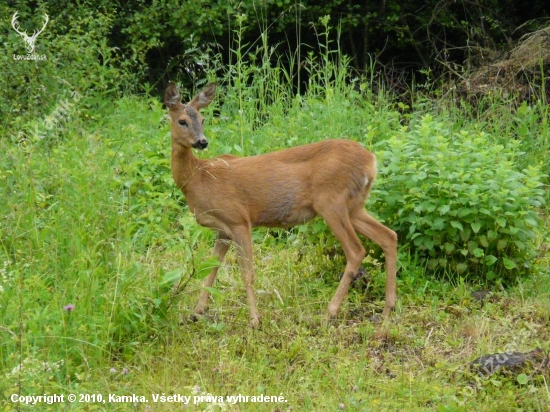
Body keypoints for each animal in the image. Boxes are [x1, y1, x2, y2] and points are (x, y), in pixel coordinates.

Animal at [166, 82, 398, 326]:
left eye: (202, 120)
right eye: (182, 120)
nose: (202, 142)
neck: (200, 177)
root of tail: (371, 161)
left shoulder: (238, 219)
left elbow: (247, 273)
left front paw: (254, 320)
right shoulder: (224, 229)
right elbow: (211, 267)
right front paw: (196, 312)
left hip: (331, 202)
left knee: (356, 251)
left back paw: (330, 312)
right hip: (354, 205)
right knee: (388, 236)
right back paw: (387, 310)